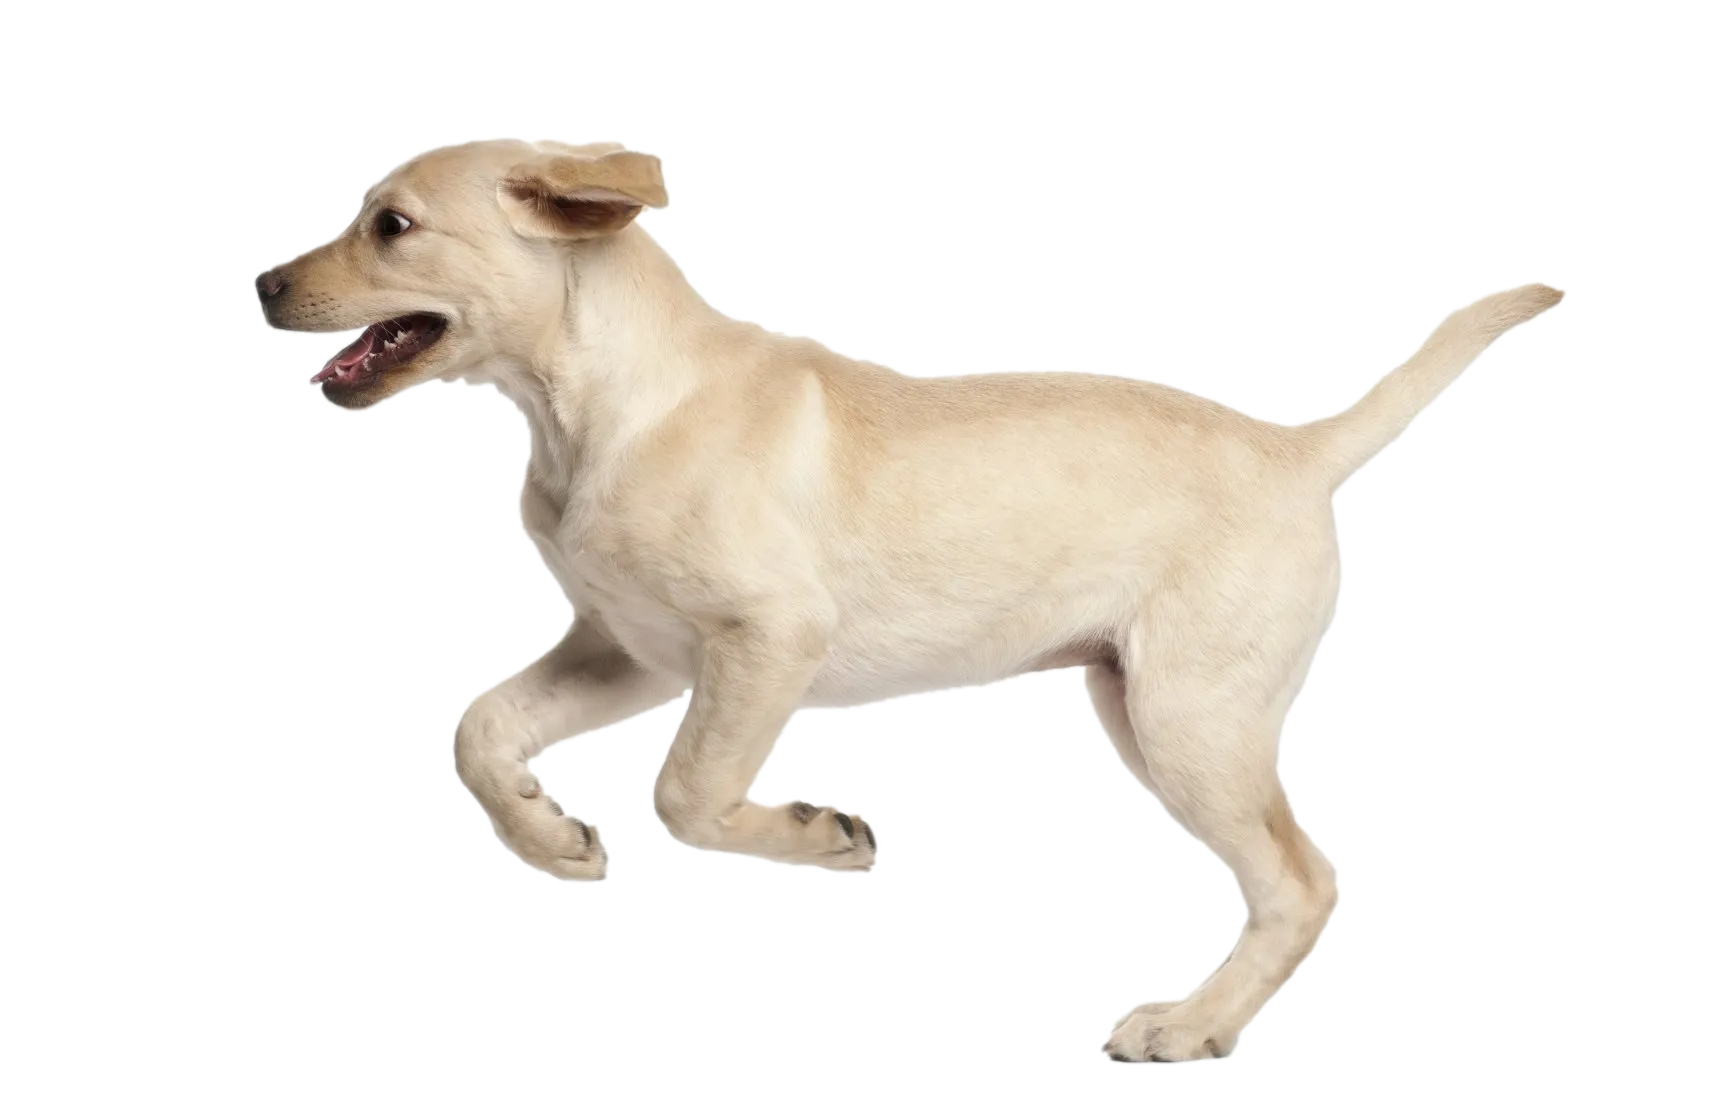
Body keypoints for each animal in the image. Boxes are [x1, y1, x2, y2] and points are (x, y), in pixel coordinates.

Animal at [255, 136, 1565, 1064]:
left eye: (392, 225)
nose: (260, 283)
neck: (592, 406)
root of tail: (1299, 448)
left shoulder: (767, 641)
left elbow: (687, 793)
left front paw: (821, 837)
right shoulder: (632, 650)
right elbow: (478, 726)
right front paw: (551, 837)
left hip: (1193, 719)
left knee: (1300, 881)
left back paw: (1192, 1025)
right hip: (1140, 706)